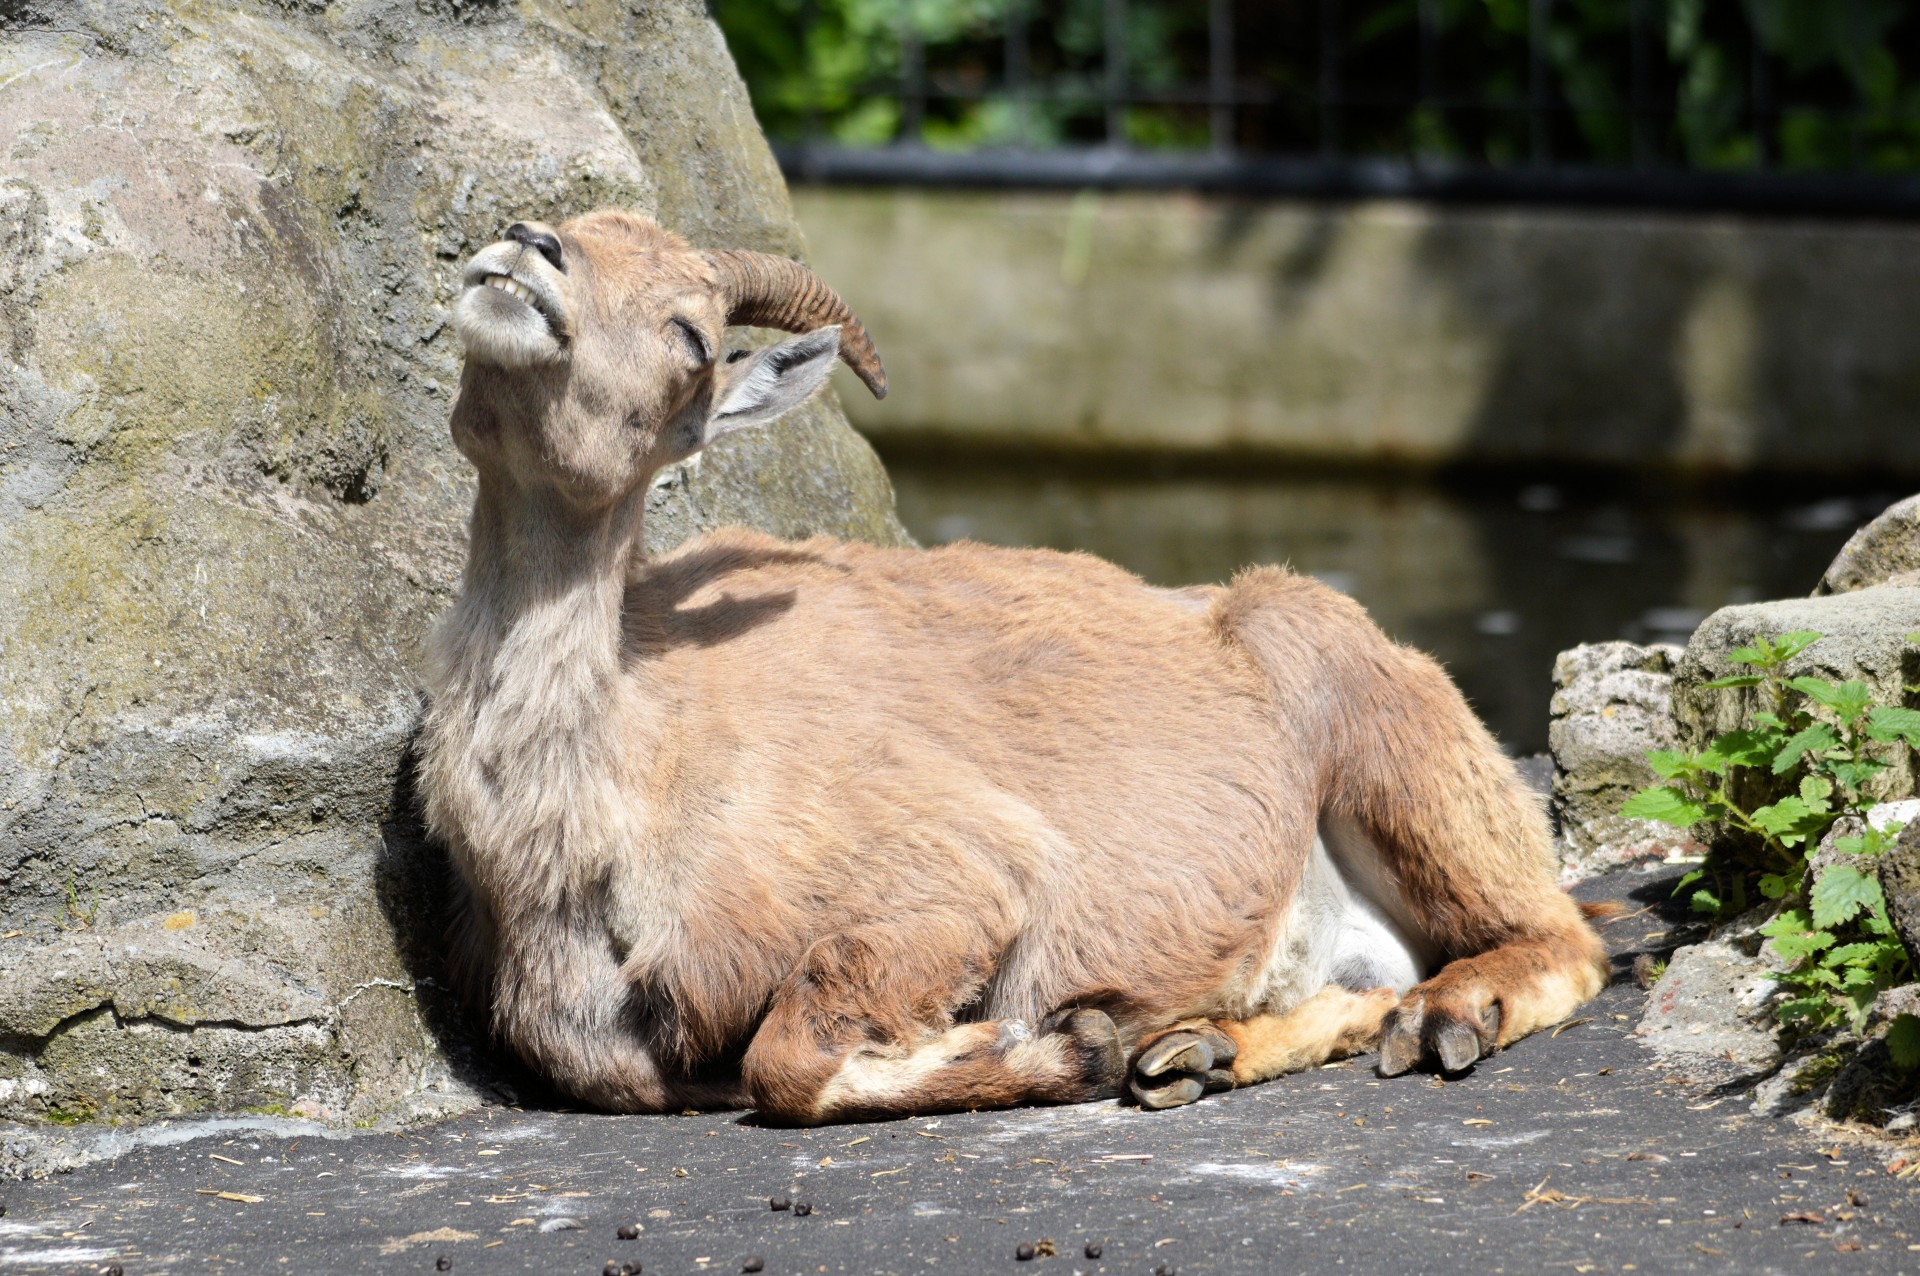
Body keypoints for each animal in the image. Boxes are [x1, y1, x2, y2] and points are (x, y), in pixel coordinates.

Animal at [420, 211, 1605, 1128]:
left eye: (692, 335)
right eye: (570, 222)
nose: (528, 248)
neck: (630, 766)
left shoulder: (954, 877)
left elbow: (789, 1057)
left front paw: (1057, 1044)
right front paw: (1094, 1044)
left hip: (1386, 737)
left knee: (1560, 935)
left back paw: (1441, 1019)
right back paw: (1196, 1052)